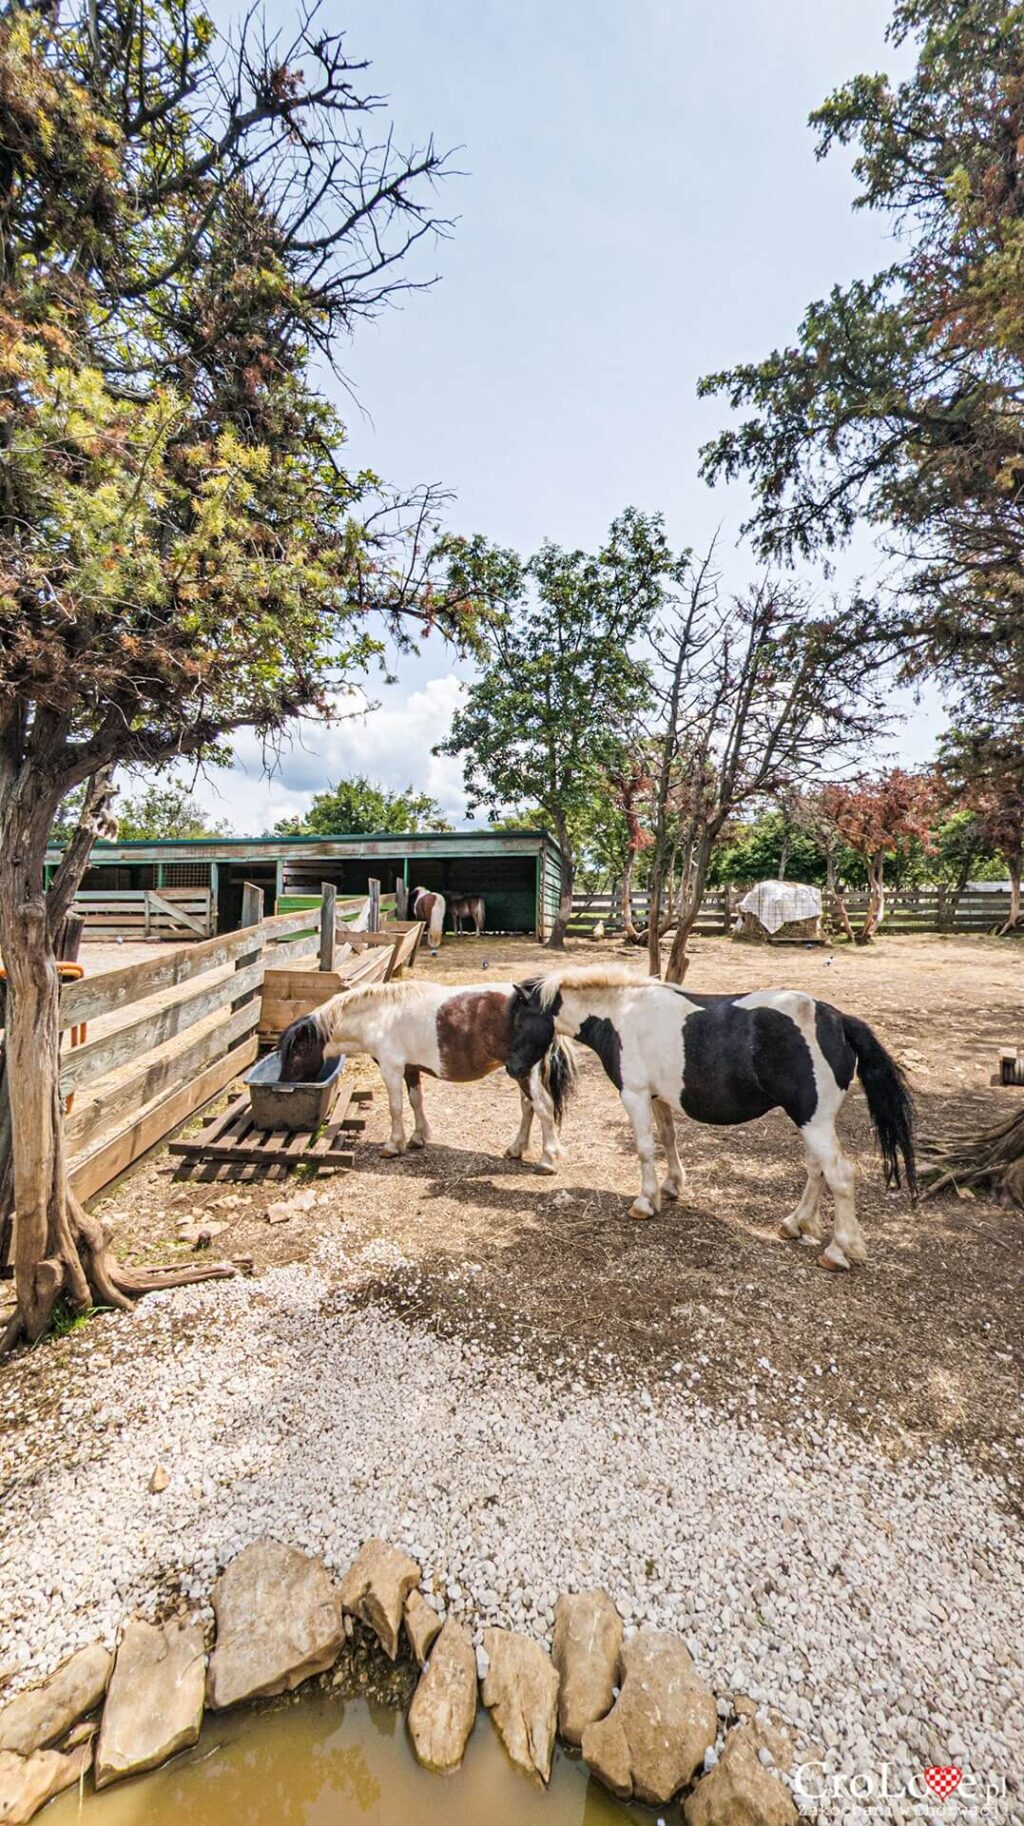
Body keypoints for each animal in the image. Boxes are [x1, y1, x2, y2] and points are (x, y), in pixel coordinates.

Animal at [273, 986, 576, 1168]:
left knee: (543, 1108)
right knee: (528, 1108)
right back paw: (516, 1149)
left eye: (295, 1051)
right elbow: (416, 1101)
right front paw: (418, 1138)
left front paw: (393, 1145)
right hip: (521, 1073)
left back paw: (548, 1160)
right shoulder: (410, 1069)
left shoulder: (391, 1069)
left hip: (525, 1074)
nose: (283, 1083)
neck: (379, 1016)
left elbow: (396, 1108)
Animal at [507, 964, 912, 1278]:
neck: (622, 1015)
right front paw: (671, 1187)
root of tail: (840, 1020)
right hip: (810, 1121)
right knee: (817, 1169)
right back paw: (794, 1224)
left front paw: (645, 1202)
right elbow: (668, 1139)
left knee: (839, 1175)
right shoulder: (657, 1097)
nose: (513, 1068)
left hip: (813, 1121)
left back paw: (838, 1252)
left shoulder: (634, 1095)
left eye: (520, 1020)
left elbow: (645, 1149)